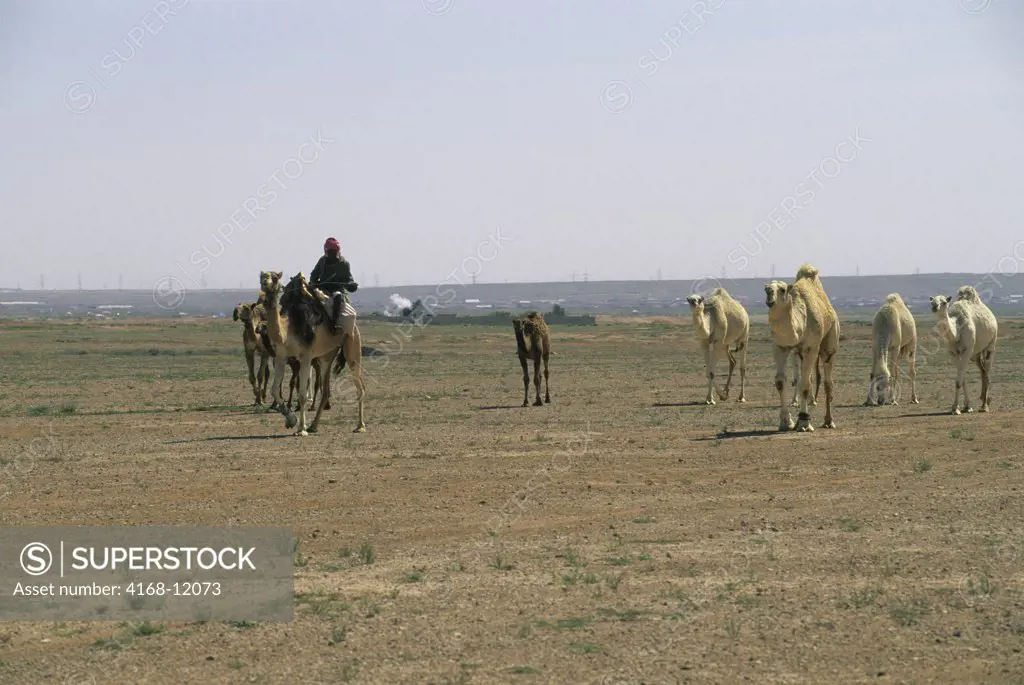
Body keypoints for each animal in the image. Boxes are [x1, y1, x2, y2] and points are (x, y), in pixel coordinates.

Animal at [258, 270, 366, 436]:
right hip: (326, 355)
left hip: (352, 342)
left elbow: (302, 395)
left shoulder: (306, 357)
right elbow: (274, 390)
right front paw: (291, 420)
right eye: (261, 276)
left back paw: (360, 426)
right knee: (326, 390)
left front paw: (301, 429)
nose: (265, 281)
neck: (288, 329)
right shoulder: (281, 356)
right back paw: (314, 426)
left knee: (360, 387)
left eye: (275, 277)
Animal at [761, 264, 839, 430]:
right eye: (766, 289)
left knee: (827, 381)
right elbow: (780, 381)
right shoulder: (780, 346)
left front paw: (804, 421)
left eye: (782, 289)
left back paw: (828, 421)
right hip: (800, 353)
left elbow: (805, 383)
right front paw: (786, 421)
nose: (770, 294)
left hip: (830, 339)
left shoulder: (811, 348)